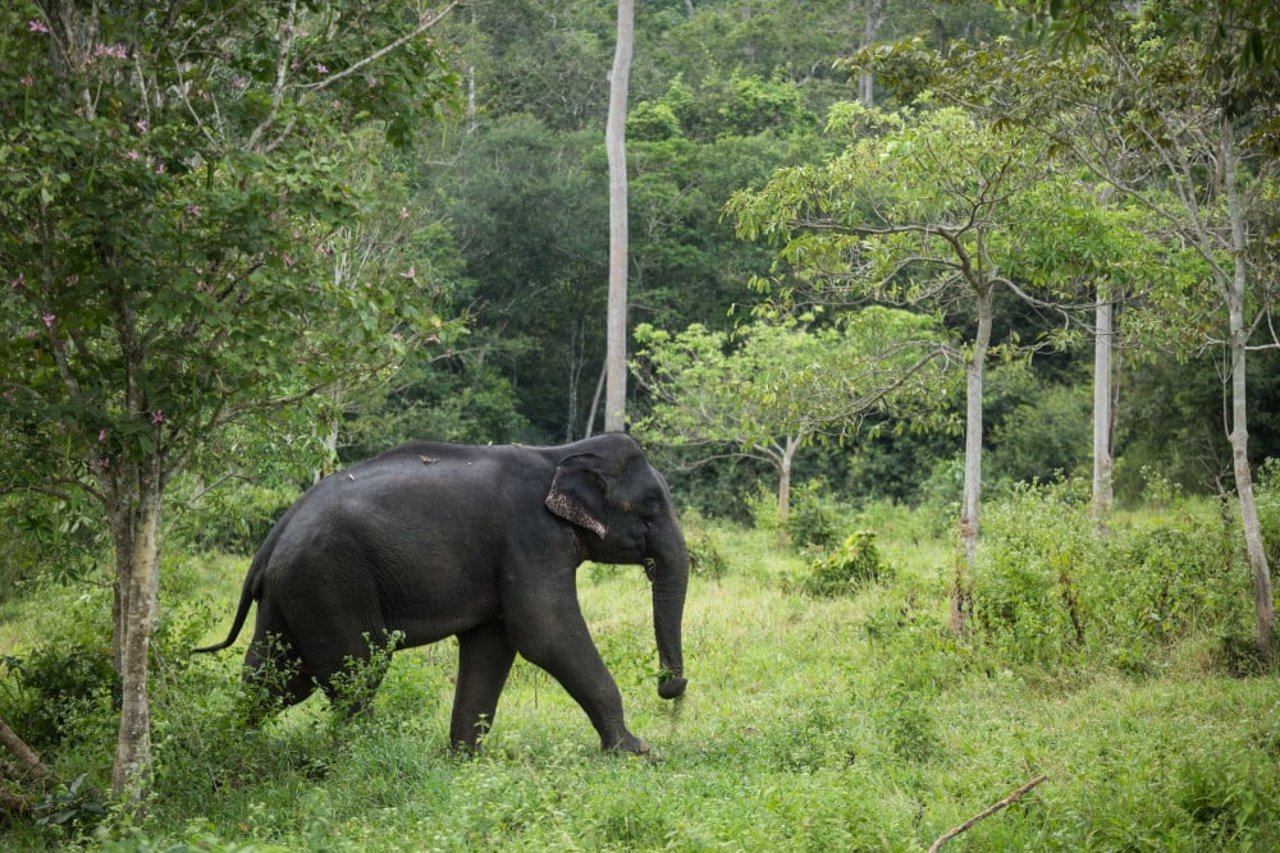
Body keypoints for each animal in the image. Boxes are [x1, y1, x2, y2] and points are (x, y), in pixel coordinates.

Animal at [192, 432, 691, 753]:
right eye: (650, 506)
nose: (672, 688)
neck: (560, 454)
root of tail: (274, 536)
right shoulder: (529, 536)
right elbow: (544, 633)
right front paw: (636, 750)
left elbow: (494, 643)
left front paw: (465, 760)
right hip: (330, 584)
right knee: (356, 673)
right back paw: (364, 754)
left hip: (291, 595)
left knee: (275, 679)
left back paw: (232, 746)